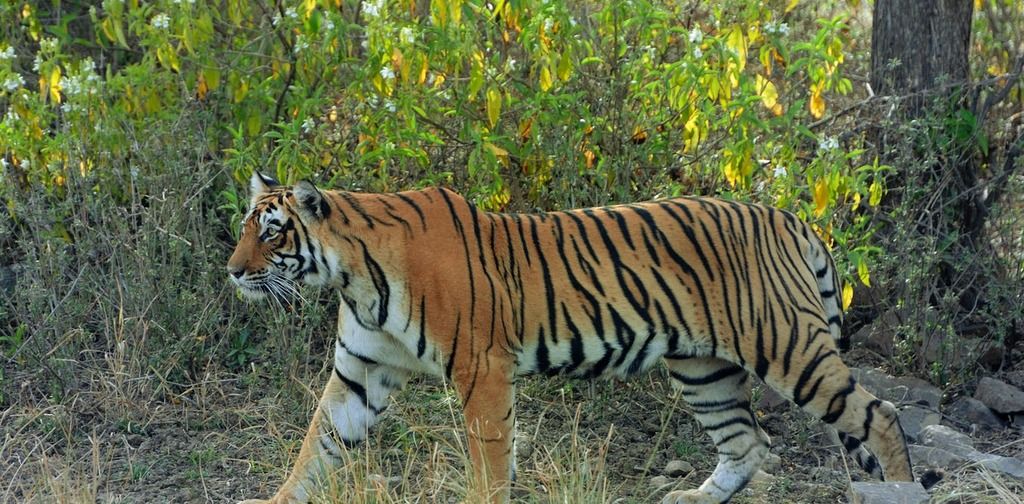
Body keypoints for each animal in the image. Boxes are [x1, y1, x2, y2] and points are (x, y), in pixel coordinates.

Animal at [228, 172, 924, 504]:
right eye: (245, 227)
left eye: (272, 231)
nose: (232, 271)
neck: (353, 277)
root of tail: (789, 218)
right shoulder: (360, 370)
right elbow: (317, 447)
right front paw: (276, 501)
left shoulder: (482, 369)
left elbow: (490, 460)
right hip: (703, 369)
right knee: (747, 442)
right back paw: (691, 499)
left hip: (788, 348)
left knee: (881, 416)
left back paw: (898, 492)